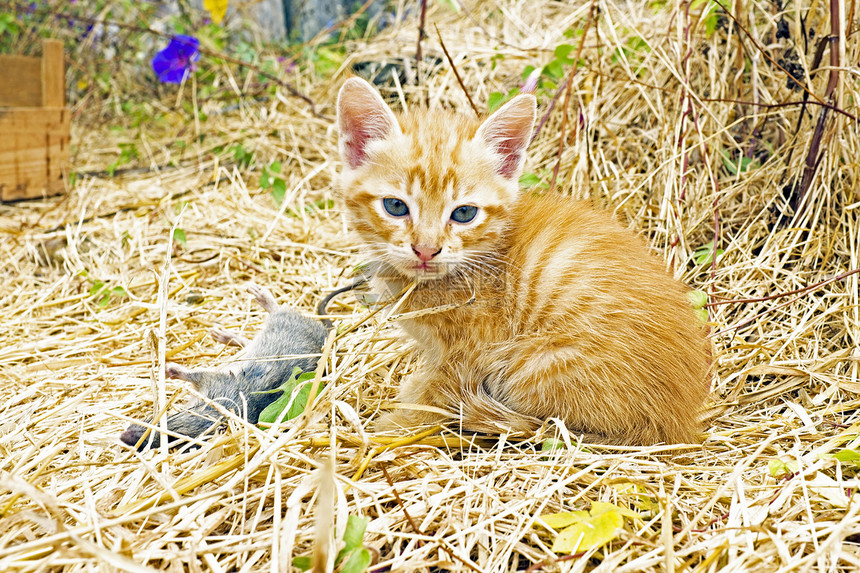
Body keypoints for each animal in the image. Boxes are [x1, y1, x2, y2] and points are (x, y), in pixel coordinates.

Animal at [332, 77, 708, 442]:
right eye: (395, 206)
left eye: (464, 213)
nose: (426, 249)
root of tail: (674, 426)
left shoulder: (474, 349)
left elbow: (439, 392)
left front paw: (398, 424)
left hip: (530, 362)